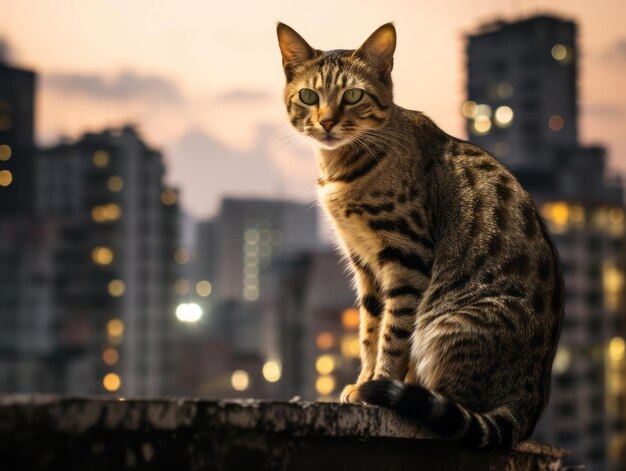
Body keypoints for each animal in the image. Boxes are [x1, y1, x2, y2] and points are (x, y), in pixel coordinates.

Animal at [276, 23, 564, 454]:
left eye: (353, 95)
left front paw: (379, 386)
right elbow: (369, 330)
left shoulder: (405, 255)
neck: (343, 167)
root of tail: (528, 404)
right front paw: (365, 381)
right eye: (309, 96)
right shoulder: (364, 263)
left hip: (453, 322)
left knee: (455, 406)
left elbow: (393, 333)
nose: (326, 122)